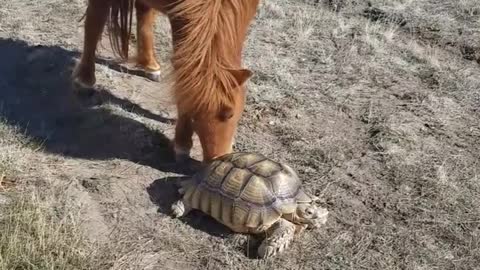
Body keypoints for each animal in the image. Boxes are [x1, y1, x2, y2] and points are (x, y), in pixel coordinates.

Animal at [71, 0, 260, 162]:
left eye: (231, 114)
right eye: (193, 115)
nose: (216, 160)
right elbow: (95, 21)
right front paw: (182, 145)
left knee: (143, 12)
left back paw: (150, 65)